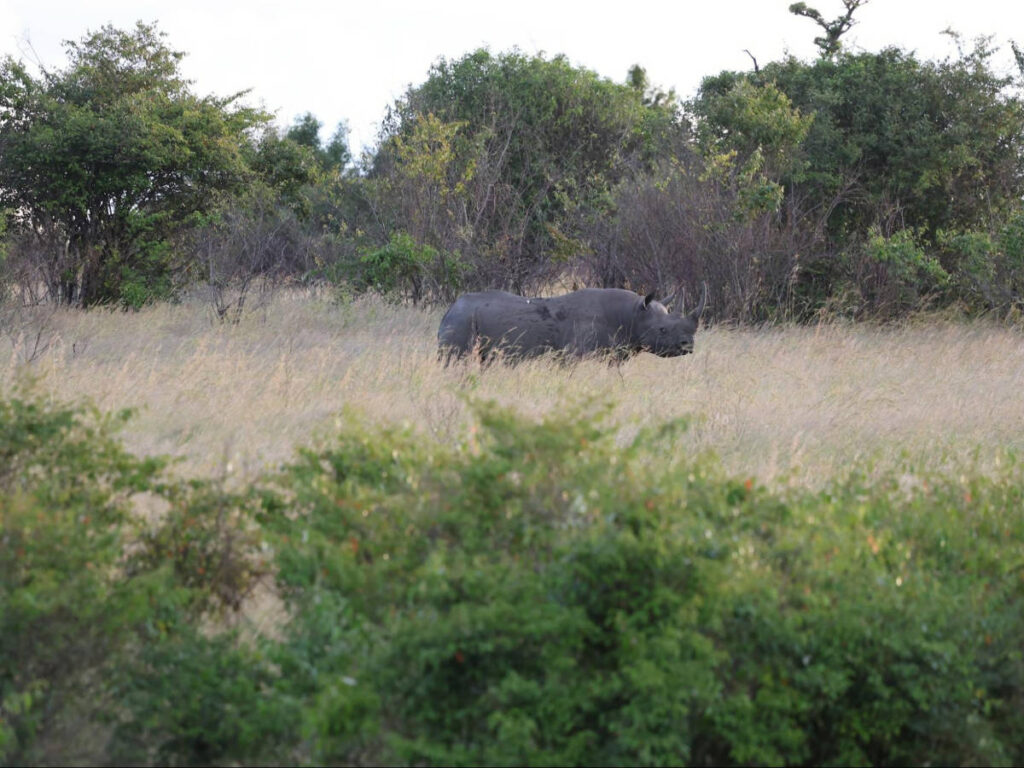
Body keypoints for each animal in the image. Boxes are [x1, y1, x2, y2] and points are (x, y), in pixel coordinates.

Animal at [438, 284, 707, 364]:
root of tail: (451, 307)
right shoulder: (572, 356)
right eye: (662, 330)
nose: (688, 346)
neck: (632, 315)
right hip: (461, 321)